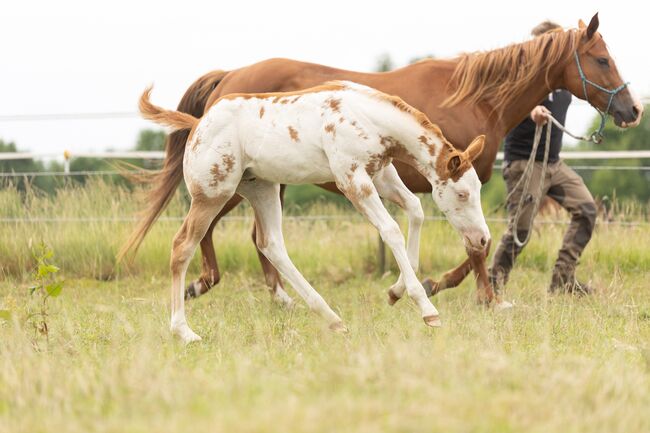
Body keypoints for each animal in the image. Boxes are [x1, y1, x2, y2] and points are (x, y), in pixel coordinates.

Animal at [119, 13, 640, 304]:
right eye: (601, 60)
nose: (632, 109)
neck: (472, 96)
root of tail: (229, 80)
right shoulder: (449, 181)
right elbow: (478, 246)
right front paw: (472, 294)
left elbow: (480, 241)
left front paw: (430, 286)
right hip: (232, 182)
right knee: (205, 230)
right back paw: (205, 284)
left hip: (268, 183)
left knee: (253, 238)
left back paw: (281, 297)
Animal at [139, 79, 488, 340]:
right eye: (461, 193)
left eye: (478, 189)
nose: (483, 239)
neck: (366, 116)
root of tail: (198, 124)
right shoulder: (352, 179)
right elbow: (390, 229)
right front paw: (427, 309)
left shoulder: (380, 173)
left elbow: (415, 210)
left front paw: (396, 291)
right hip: (212, 194)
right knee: (183, 246)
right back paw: (184, 332)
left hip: (262, 188)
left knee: (271, 245)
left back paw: (332, 318)